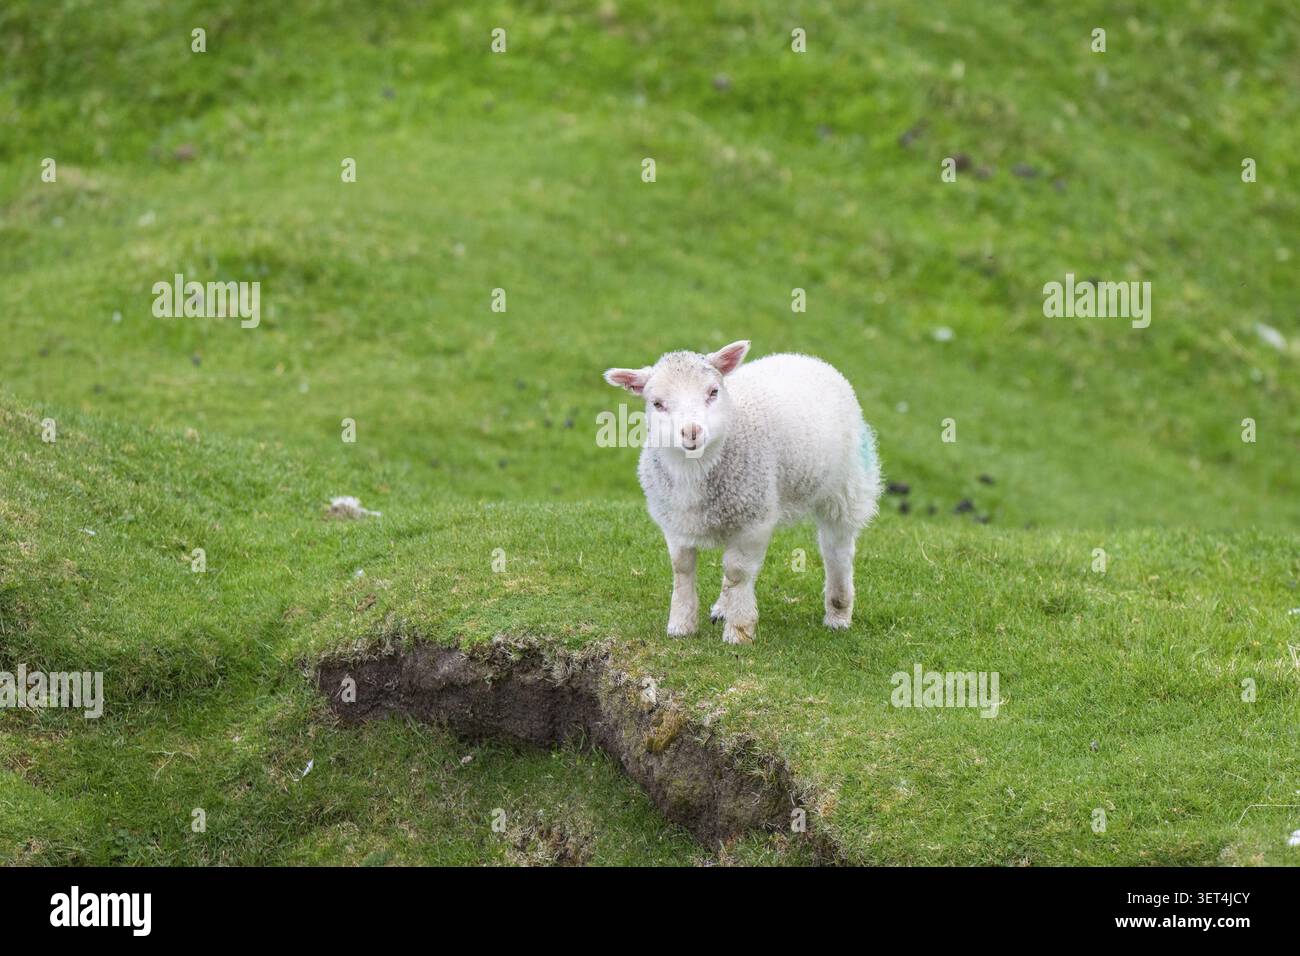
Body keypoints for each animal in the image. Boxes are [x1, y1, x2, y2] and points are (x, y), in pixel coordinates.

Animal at [604, 341, 882, 644]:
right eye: (657, 404)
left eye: (713, 392)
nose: (692, 431)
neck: (694, 469)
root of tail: (804, 357)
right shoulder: (675, 521)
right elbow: (682, 568)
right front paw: (681, 625)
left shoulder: (754, 520)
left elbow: (738, 572)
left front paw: (739, 631)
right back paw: (722, 607)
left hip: (846, 487)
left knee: (837, 548)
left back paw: (838, 612)